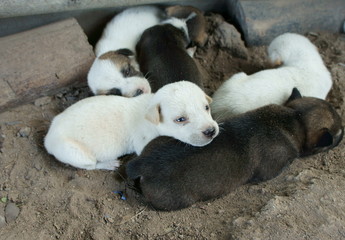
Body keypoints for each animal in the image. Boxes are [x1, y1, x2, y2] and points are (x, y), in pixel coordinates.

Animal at [44, 81, 219, 171]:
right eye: (180, 119)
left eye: (206, 107)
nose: (211, 131)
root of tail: (47, 138)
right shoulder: (143, 142)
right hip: (74, 153)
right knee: (91, 165)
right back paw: (109, 164)